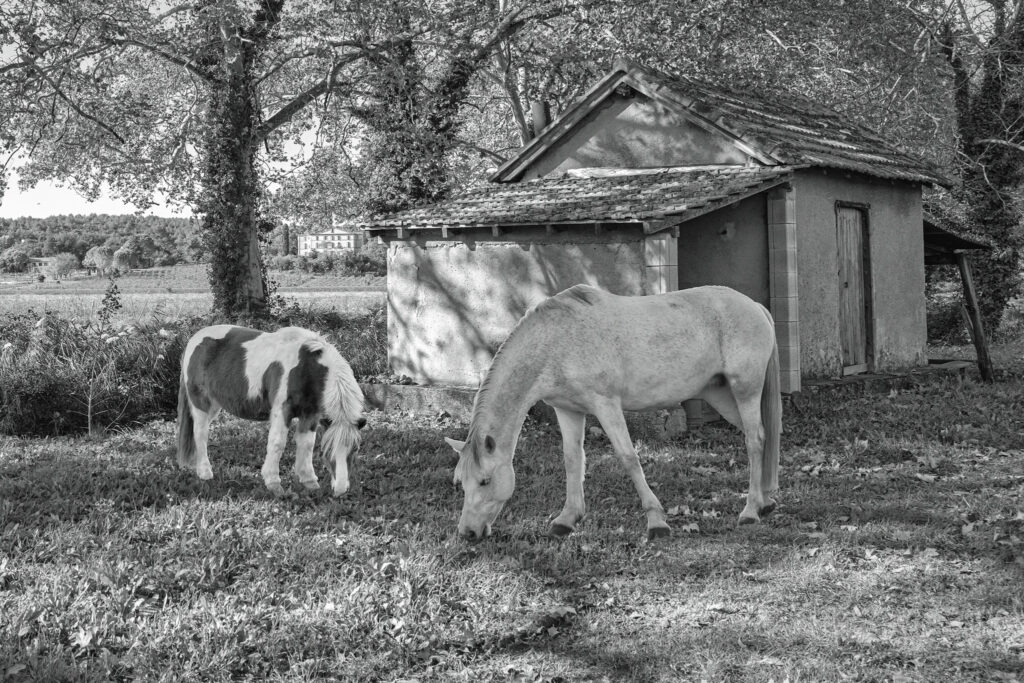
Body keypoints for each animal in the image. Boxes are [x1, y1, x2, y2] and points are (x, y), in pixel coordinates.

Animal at [176, 324, 367, 497]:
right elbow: (277, 443)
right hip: (201, 404)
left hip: (214, 406)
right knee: (200, 434)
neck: (305, 367)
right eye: (328, 451)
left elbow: (307, 444)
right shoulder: (283, 410)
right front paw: (274, 484)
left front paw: (309, 482)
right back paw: (205, 473)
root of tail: (193, 340)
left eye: (355, 449)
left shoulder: (310, 414)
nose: (340, 490)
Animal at [445, 284, 781, 541]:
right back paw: (765, 502)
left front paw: (657, 522)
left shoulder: (605, 404)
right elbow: (572, 460)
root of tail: (755, 306)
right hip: (721, 394)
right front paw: (567, 519)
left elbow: (629, 458)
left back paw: (750, 511)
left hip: (745, 391)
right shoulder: (567, 410)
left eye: (485, 481)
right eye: (460, 483)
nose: (467, 533)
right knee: (762, 437)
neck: (557, 341)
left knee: (754, 441)